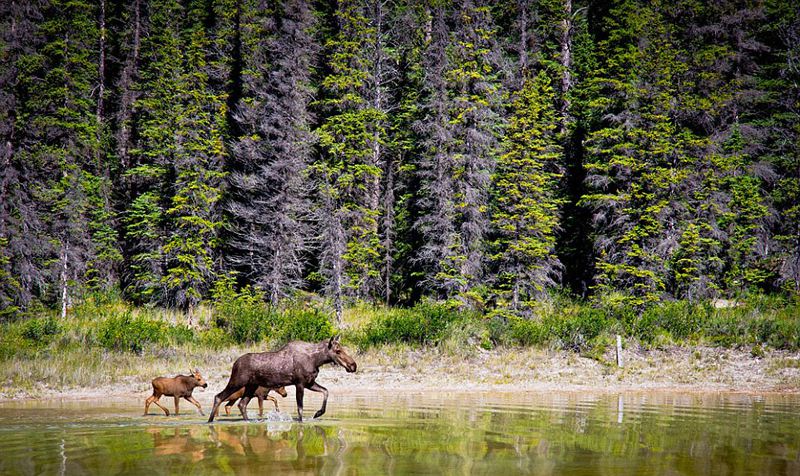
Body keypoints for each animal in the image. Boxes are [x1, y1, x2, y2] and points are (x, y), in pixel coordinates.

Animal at [206, 334, 356, 424]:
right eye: (338, 351)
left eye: (343, 349)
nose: (353, 365)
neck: (316, 360)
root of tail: (235, 364)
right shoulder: (300, 383)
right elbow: (300, 408)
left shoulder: (309, 383)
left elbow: (326, 391)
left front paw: (318, 413)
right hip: (237, 381)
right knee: (218, 397)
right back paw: (210, 421)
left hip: (251, 386)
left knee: (242, 404)